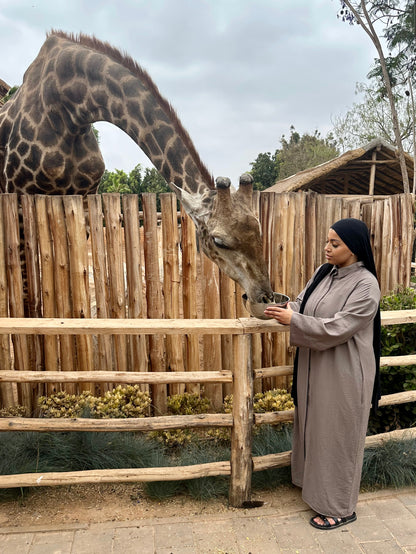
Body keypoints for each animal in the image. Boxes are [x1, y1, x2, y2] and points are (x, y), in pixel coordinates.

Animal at [0, 30, 272, 302]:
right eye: (219, 241)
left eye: (259, 232)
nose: (265, 295)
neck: (71, 111)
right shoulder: (17, 193)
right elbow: (26, 274)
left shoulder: (83, 199)